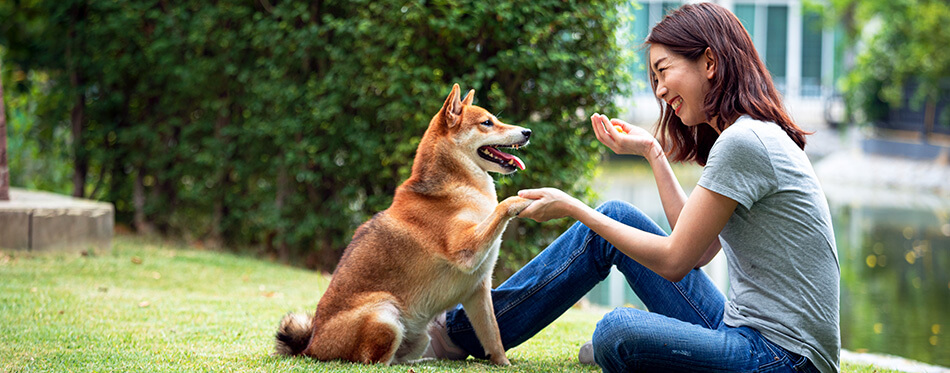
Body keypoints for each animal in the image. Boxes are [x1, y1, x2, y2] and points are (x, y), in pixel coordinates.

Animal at [276, 83, 536, 364]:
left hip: (420, 337)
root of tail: (311, 347)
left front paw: (504, 364)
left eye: (495, 119)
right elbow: (502, 206)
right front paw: (521, 201)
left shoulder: (478, 290)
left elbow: (493, 336)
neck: (457, 186)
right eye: (487, 123)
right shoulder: (465, 251)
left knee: (399, 358)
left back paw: (425, 362)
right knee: (376, 362)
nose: (527, 132)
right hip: (386, 315)